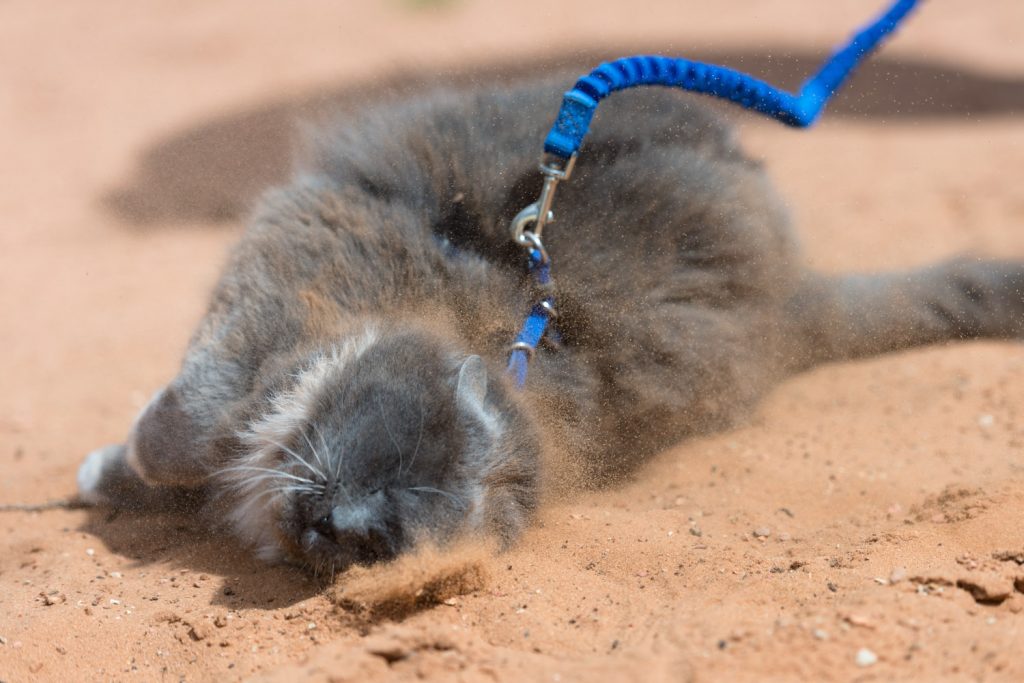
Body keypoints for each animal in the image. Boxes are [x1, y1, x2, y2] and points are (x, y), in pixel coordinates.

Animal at [75, 77, 1024, 573]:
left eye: (384, 542)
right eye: (399, 453)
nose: (348, 523)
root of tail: (792, 298)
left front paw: (122, 475)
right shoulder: (302, 253)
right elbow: (185, 429)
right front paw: (120, 465)